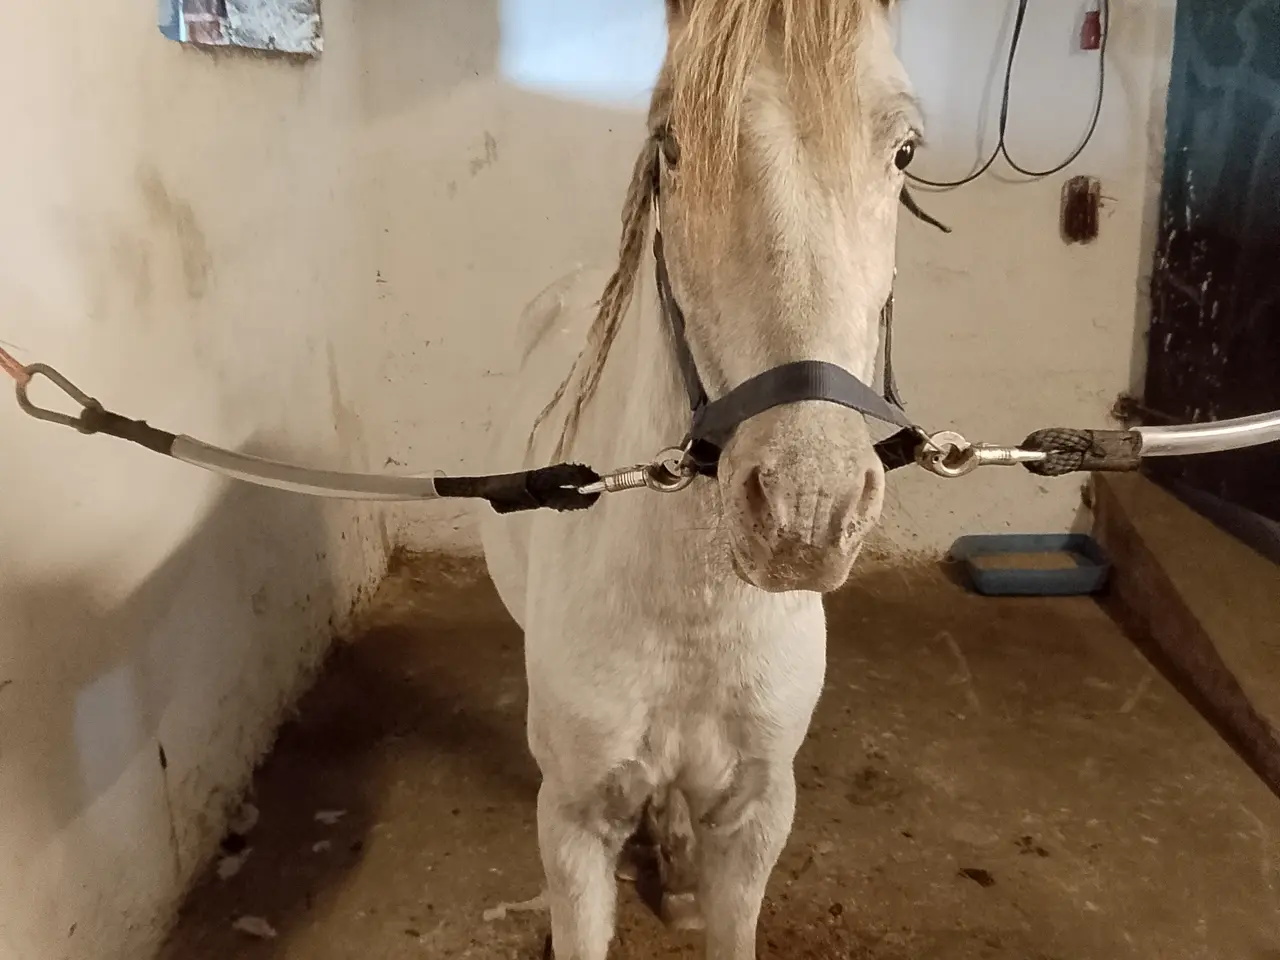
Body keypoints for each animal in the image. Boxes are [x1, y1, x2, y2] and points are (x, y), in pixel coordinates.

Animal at [478, 1, 920, 956]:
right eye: (671, 144)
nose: (806, 511)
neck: (696, 615)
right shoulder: (573, 825)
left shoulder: (756, 815)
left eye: (906, 151)